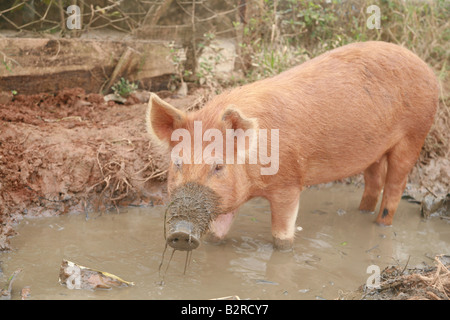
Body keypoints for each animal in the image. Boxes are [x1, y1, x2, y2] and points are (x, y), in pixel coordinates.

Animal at [146, 41, 438, 251]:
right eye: (177, 162)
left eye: (218, 166)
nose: (180, 232)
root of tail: (427, 68)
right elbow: (218, 234)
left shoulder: (289, 184)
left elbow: (282, 237)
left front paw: (283, 248)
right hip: (374, 150)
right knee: (373, 181)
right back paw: (361, 211)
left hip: (415, 133)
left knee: (395, 185)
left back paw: (381, 224)